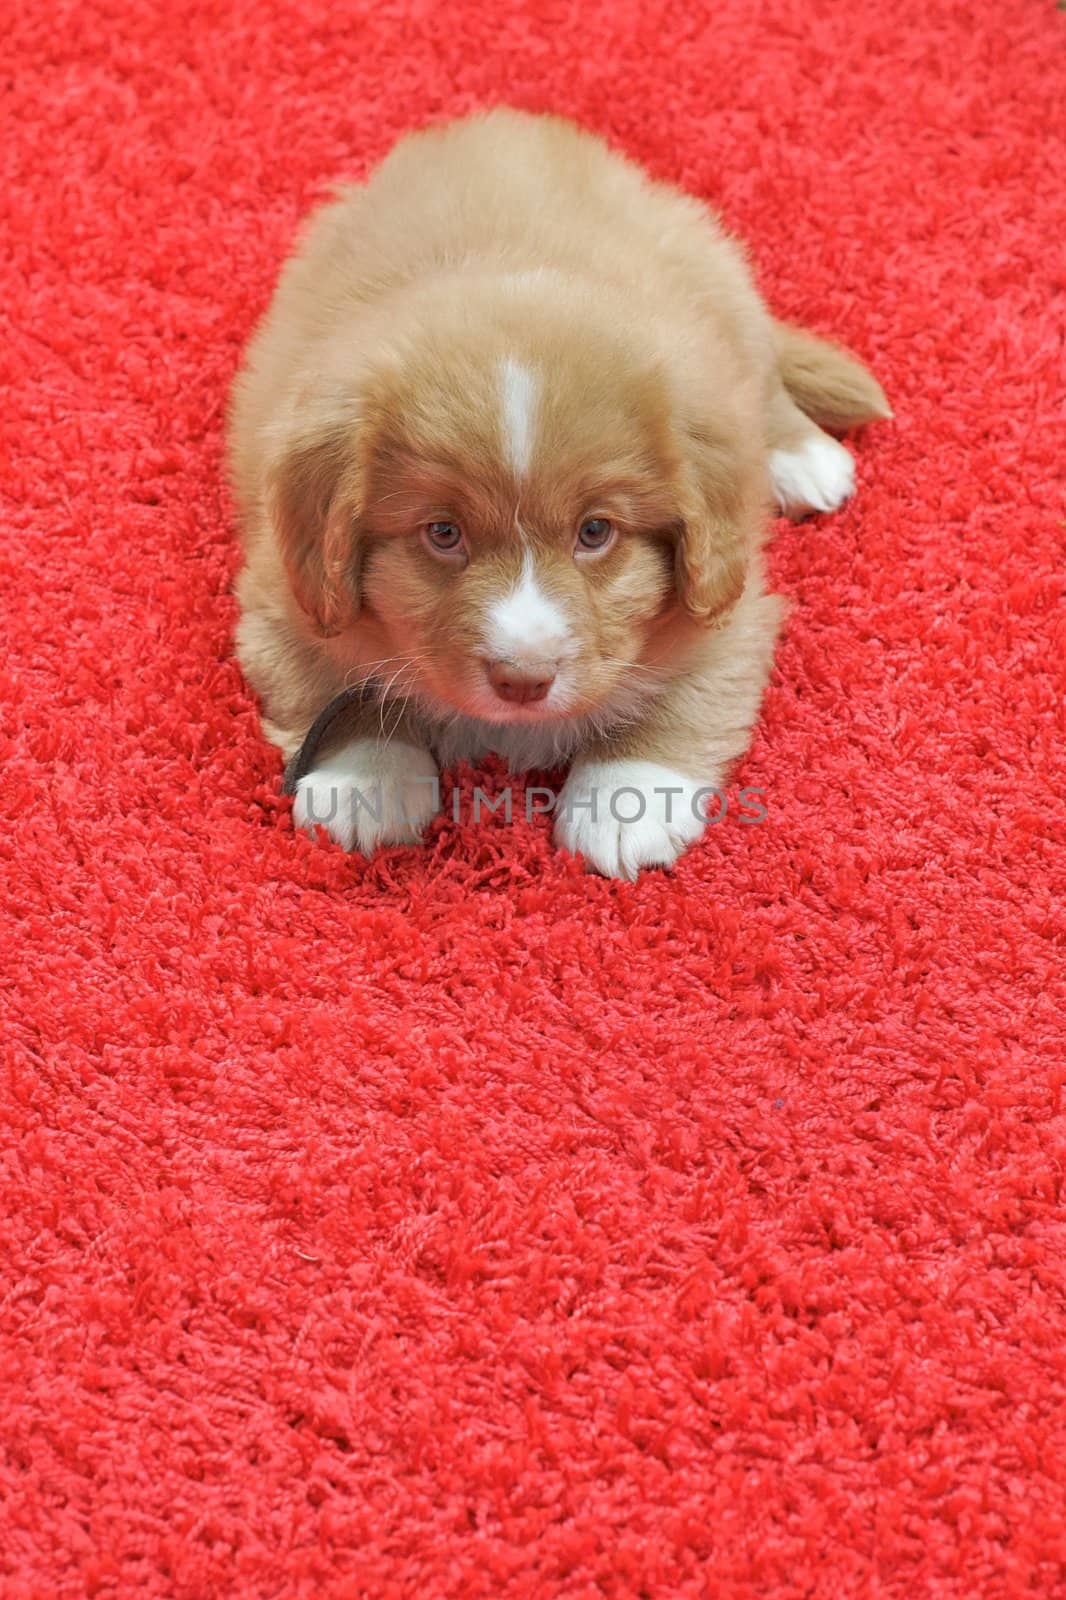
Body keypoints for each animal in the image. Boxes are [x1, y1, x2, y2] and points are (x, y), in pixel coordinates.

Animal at [228, 108, 883, 883]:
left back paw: (800, 455)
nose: (523, 680)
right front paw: (366, 782)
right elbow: (333, 685)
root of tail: (514, 125)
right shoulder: (281, 593)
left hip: (724, 293)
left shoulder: (732, 603)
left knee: (762, 381)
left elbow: (682, 697)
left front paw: (626, 801)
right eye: (442, 533)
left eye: (595, 532)